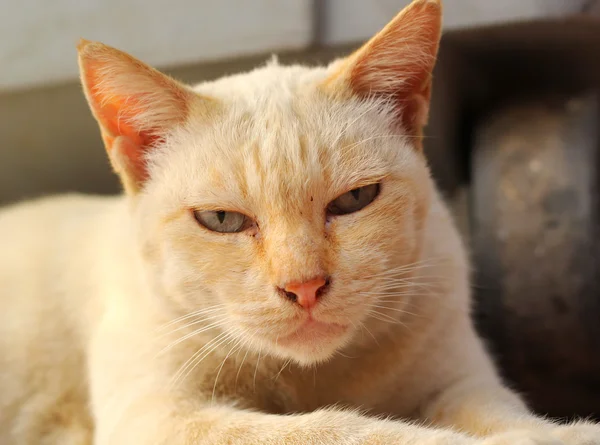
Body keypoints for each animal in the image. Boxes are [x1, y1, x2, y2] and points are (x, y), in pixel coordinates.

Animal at [1, 0, 600, 444]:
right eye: (221, 219)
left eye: (355, 200)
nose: (304, 287)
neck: (308, 374)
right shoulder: (162, 417)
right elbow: (345, 429)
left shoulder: (460, 382)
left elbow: (506, 416)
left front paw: (558, 431)